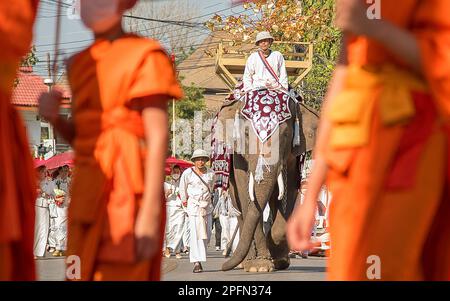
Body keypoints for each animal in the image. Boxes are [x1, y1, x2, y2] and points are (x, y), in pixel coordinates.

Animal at [211, 89, 316, 272]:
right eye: (246, 134)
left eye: (286, 134)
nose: (224, 266)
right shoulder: (238, 156)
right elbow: (245, 194)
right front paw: (258, 266)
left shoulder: (292, 158)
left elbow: (289, 192)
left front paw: (276, 258)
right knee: (239, 207)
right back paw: (246, 262)